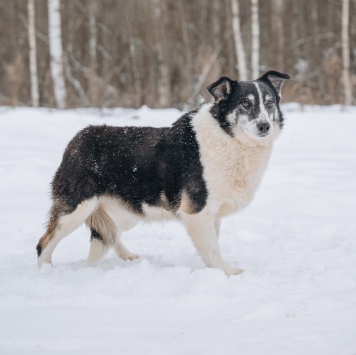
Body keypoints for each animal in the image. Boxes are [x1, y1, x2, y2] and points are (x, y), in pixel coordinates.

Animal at [37, 69, 290, 276]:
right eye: (245, 104)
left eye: (269, 103)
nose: (265, 126)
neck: (228, 137)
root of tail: (77, 139)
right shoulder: (197, 212)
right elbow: (213, 250)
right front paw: (226, 273)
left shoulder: (212, 215)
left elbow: (211, 246)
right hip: (76, 208)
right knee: (44, 243)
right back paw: (45, 272)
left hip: (125, 212)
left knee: (109, 234)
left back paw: (126, 256)